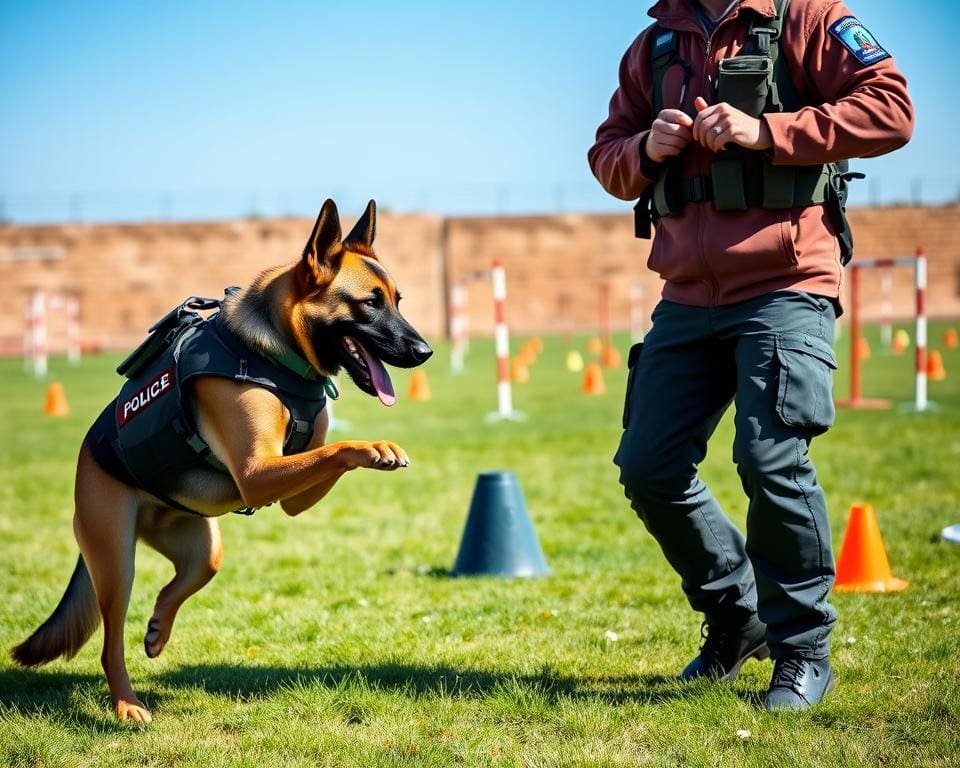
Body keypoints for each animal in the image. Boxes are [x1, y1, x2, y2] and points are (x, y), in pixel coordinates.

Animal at [10, 198, 432, 720]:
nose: (425, 351)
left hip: (201, 549)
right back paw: (127, 705)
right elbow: (339, 448)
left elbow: (326, 451)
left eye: (398, 300)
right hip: (116, 562)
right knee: (111, 645)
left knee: (182, 581)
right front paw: (376, 446)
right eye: (370, 303)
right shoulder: (256, 474)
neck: (277, 353)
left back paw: (158, 627)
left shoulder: (292, 494)